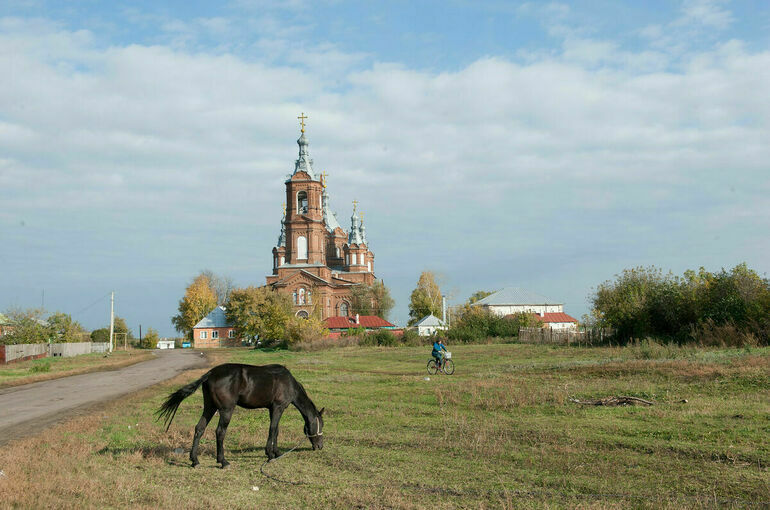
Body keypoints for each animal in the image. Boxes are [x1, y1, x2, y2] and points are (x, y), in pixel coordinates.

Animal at [156, 362, 324, 466]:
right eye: (320, 425)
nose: (320, 446)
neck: (288, 382)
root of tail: (210, 373)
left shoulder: (273, 409)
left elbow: (276, 431)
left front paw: (276, 452)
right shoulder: (278, 408)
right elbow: (272, 430)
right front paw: (270, 454)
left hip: (210, 407)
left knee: (199, 428)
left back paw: (195, 460)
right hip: (226, 410)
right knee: (220, 432)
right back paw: (223, 461)